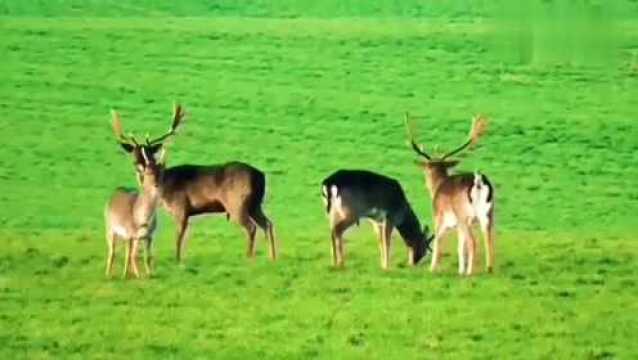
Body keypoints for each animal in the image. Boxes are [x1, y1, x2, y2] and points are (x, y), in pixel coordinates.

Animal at [105, 146, 165, 278]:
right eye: (148, 172)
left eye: (163, 172)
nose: (157, 185)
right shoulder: (133, 235)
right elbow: (133, 256)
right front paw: (139, 275)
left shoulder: (149, 236)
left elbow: (147, 257)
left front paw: (149, 274)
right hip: (110, 228)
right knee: (112, 251)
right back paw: (108, 274)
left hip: (127, 237)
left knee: (127, 252)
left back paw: (125, 274)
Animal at [109, 104, 278, 264]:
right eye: (134, 151)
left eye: (150, 152)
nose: (138, 164)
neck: (163, 188)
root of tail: (261, 176)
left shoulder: (181, 207)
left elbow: (178, 237)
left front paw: (177, 260)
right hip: (255, 204)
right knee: (268, 224)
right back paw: (272, 257)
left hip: (237, 203)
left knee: (252, 227)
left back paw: (249, 257)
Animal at [404, 115, 496, 276]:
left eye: (426, 168)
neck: (437, 186)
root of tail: (478, 181)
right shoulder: (458, 224)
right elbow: (460, 246)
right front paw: (460, 270)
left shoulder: (439, 216)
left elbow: (438, 241)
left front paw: (432, 268)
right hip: (489, 213)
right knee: (488, 237)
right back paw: (488, 269)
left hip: (464, 215)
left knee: (473, 242)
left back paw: (469, 273)